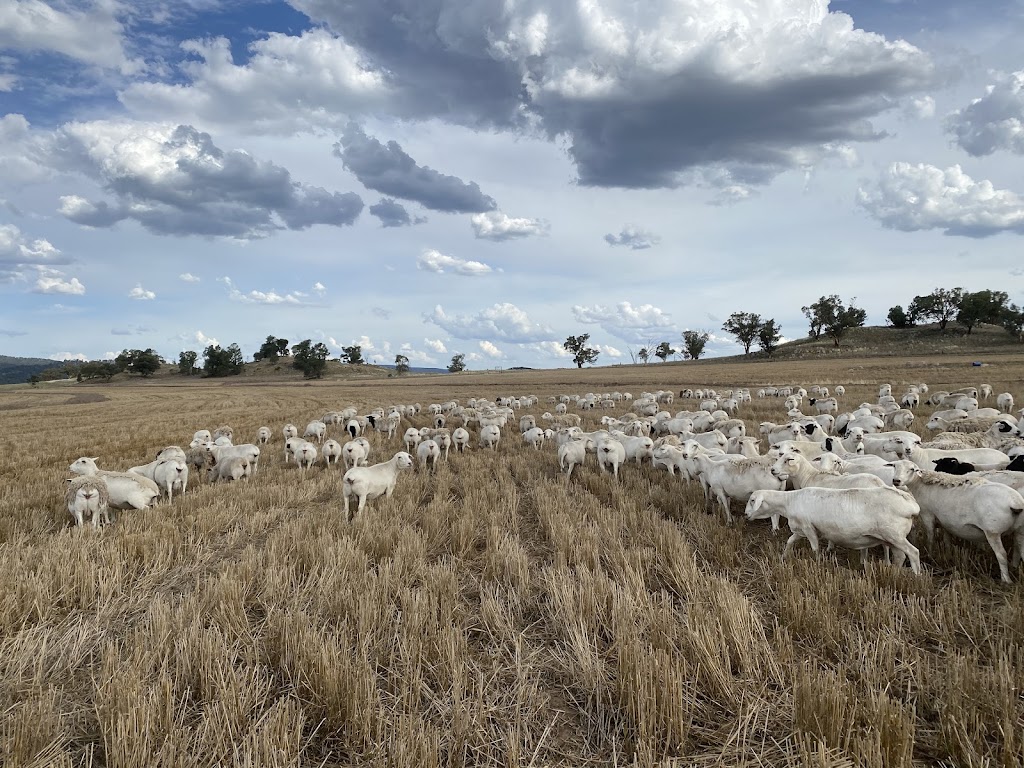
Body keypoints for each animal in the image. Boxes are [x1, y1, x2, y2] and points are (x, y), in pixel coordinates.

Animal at [888, 460, 1024, 581]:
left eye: (911, 469)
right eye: (894, 466)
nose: (896, 481)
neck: (920, 485)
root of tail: (1015, 502)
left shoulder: (928, 515)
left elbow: (930, 536)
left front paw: (930, 554)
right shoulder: (945, 521)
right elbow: (946, 538)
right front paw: (947, 553)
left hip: (992, 532)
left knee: (1001, 554)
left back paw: (1006, 580)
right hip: (1019, 530)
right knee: (1019, 548)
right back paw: (1014, 567)